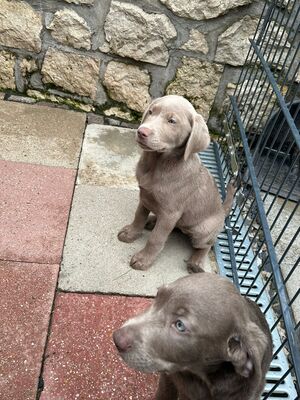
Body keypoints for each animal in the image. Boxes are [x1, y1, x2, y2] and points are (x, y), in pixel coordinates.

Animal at [117, 95, 234, 274]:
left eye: (172, 121)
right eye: (151, 112)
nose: (141, 131)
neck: (157, 164)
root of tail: (222, 210)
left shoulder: (170, 213)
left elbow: (156, 238)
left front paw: (144, 259)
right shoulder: (144, 195)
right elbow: (139, 216)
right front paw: (131, 233)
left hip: (201, 231)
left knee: (208, 244)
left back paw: (195, 262)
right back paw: (151, 221)